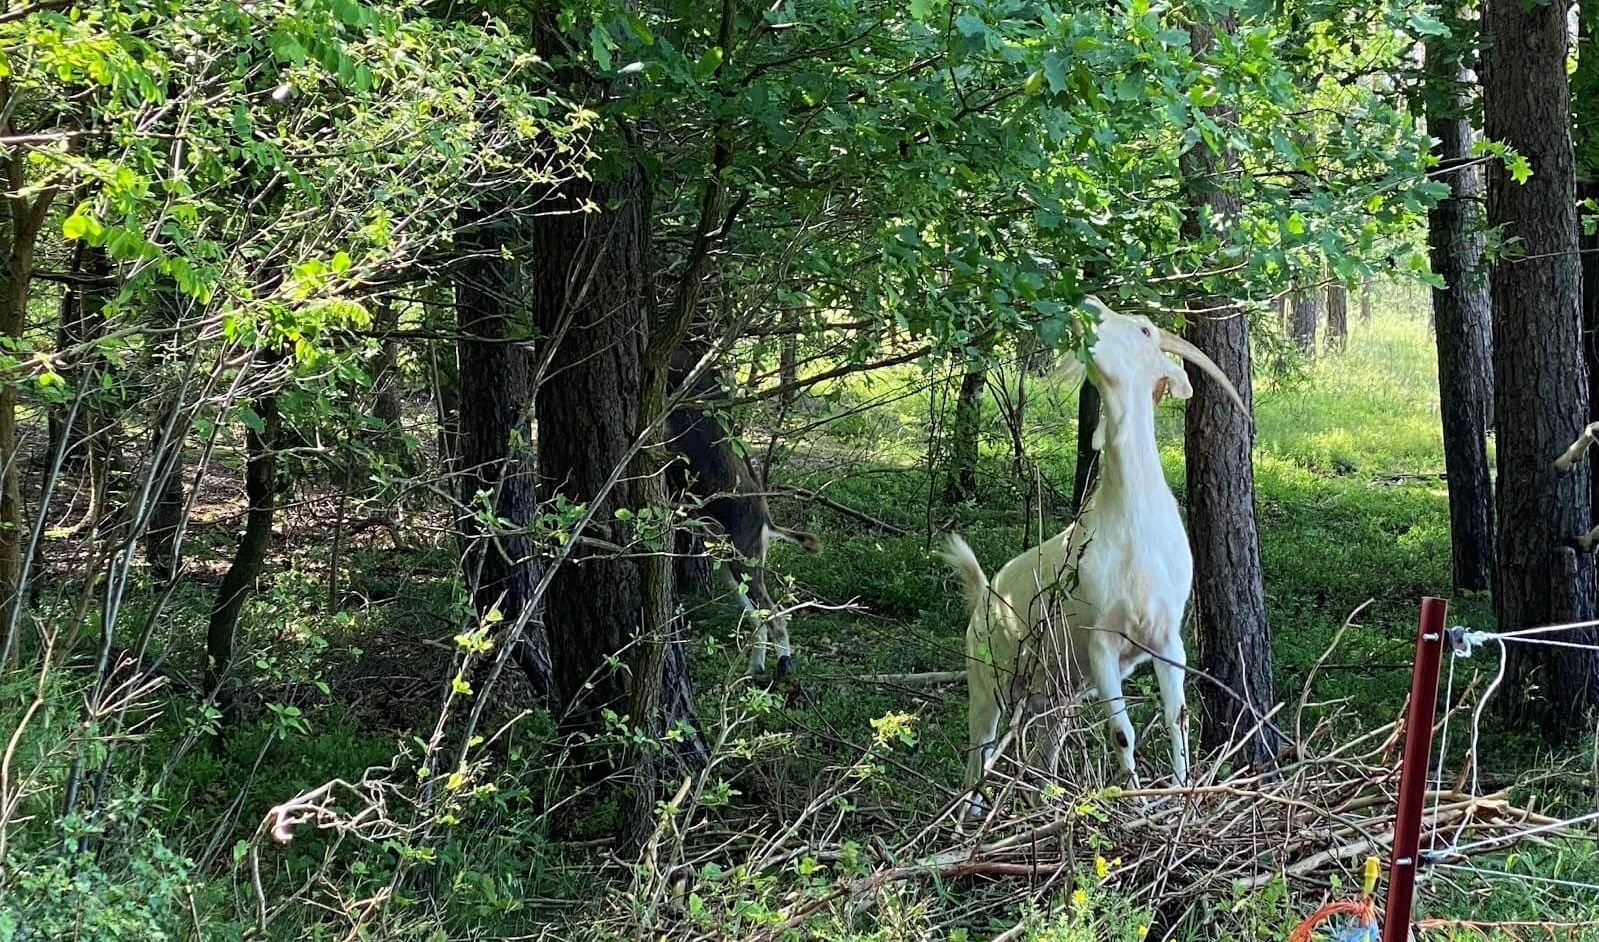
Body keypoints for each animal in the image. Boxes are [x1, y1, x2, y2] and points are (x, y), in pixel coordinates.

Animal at [933, 299, 1247, 809]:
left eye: (1144, 330)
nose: (1091, 306)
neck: (1133, 524)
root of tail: (985, 595)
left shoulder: (1167, 639)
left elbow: (1177, 719)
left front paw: (1183, 793)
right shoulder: (1101, 641)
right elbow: (1123, 732)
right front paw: (1136, 803)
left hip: (1057, 693)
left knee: (1041, 753)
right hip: (987, 684)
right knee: (977, 759)